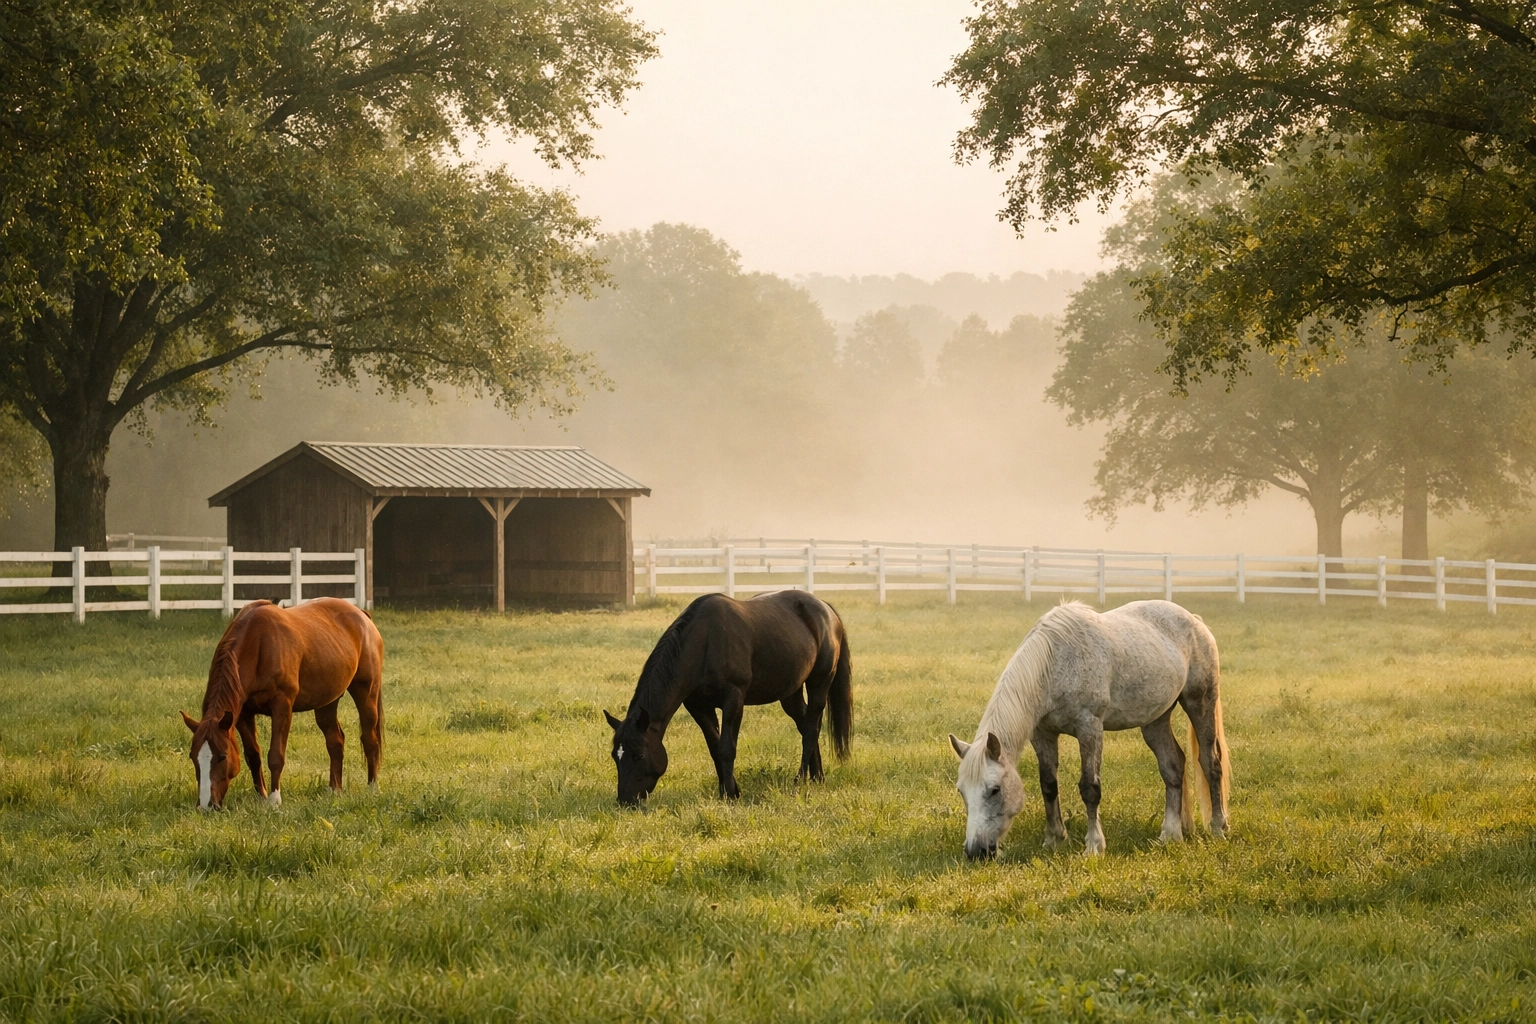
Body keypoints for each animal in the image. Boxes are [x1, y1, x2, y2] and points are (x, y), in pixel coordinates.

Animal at [181, 597, 384, 810]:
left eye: (222, 756)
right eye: (193, 757)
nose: (206, 806)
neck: (258, 644)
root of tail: (362, 615)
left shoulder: (282, 707)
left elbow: (276, 755)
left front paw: (274, 800)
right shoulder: (243, 714)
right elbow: (253, 755)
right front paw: (261, 796)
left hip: (366, 692)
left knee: (369, 739)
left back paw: (372, 788)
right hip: (327, 702)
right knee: (335, 741)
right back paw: (334, 790)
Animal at [604, 590, 853, 805]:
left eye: (639, 755)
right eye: (615, 755)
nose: (625, 800)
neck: (705, 641)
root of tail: (826, 609)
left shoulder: (734, 698)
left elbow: (726, 747)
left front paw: (731, 795)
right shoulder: (699, 706)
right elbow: (715, 748)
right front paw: (728, 790)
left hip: (820, 682)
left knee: (811, 729)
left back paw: (800, 780)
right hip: (790, 693)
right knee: (805, 725)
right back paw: (817, 777)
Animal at [949, 600, 1229, 859]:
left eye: (995, 790)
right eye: (962, 791)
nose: (975, 851)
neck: (1055, 664)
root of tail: (1195, 621)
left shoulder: (1090, 728)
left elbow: (1090, 788)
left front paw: (1094, 846)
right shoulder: (1043, 734)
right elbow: (1048, 784)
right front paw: (1054, 838)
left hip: (1200, 703)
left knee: (1210, 763)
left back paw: (1218, 827)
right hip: (1155, 720)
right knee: (1172, 767)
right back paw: (1170, 834)